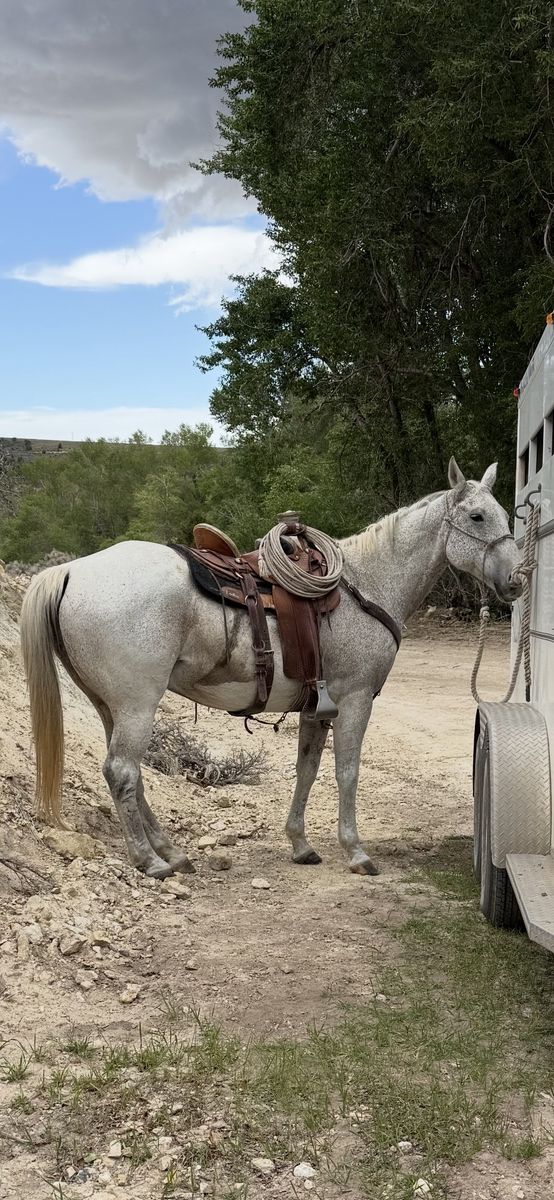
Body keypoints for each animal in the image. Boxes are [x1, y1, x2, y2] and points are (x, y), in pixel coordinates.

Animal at [20, 457, 521, 879]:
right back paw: (150, 860)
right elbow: (347, 772)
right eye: (478, 516)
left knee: (131, 774)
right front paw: (356, 851)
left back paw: (171, 852)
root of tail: (70, 571)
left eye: (505, 514)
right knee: (122, 771)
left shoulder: (318, 707)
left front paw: (301, 845)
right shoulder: (355, 699)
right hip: (137, 704)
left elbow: (307, 770)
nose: (517, 582)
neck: (368, 584)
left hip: (109, 705)